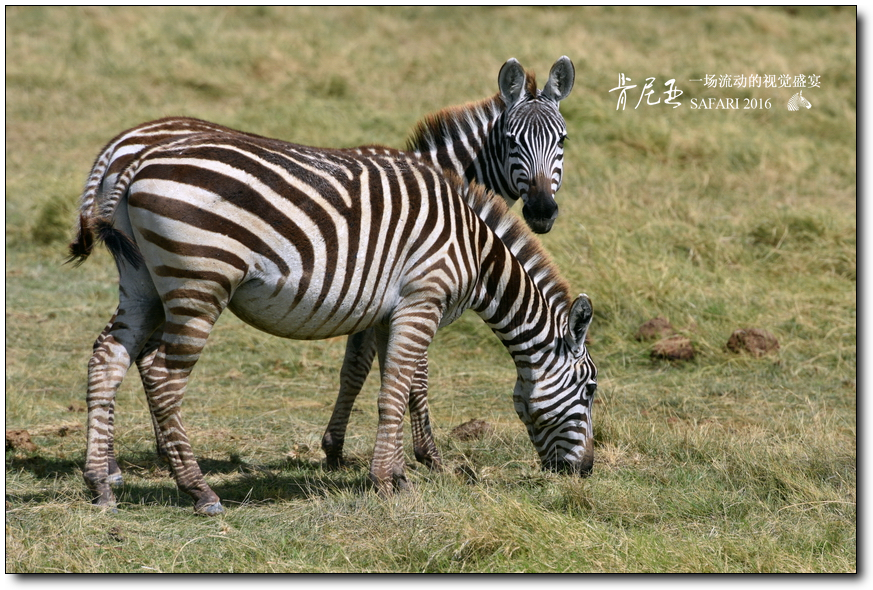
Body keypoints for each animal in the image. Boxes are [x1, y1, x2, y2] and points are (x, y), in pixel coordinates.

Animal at [68, 56, 572, 486]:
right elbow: (399, 373)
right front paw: (424, 454)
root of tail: (119, 146)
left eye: (563, 140)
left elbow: (360, 367)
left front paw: (341, 449)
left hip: (149, 276)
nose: (543, 211)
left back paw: (115, 467)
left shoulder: (373, 291)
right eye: (512, 141)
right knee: (147, 359)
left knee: (120, 351)